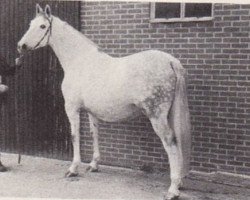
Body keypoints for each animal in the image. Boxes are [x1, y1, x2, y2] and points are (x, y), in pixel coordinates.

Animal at [17, 4, 191, 200]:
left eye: (42, 26)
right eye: (31, 24)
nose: (21, 46)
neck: (80, 61)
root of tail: (171, 61)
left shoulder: (72, 108)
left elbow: (75, 136)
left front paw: (73, 169)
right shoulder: (92, 111)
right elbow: (95, 134)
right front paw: (94, 164)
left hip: (157, 115)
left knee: (170, 141)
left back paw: (173, 189)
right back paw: (179, 182)